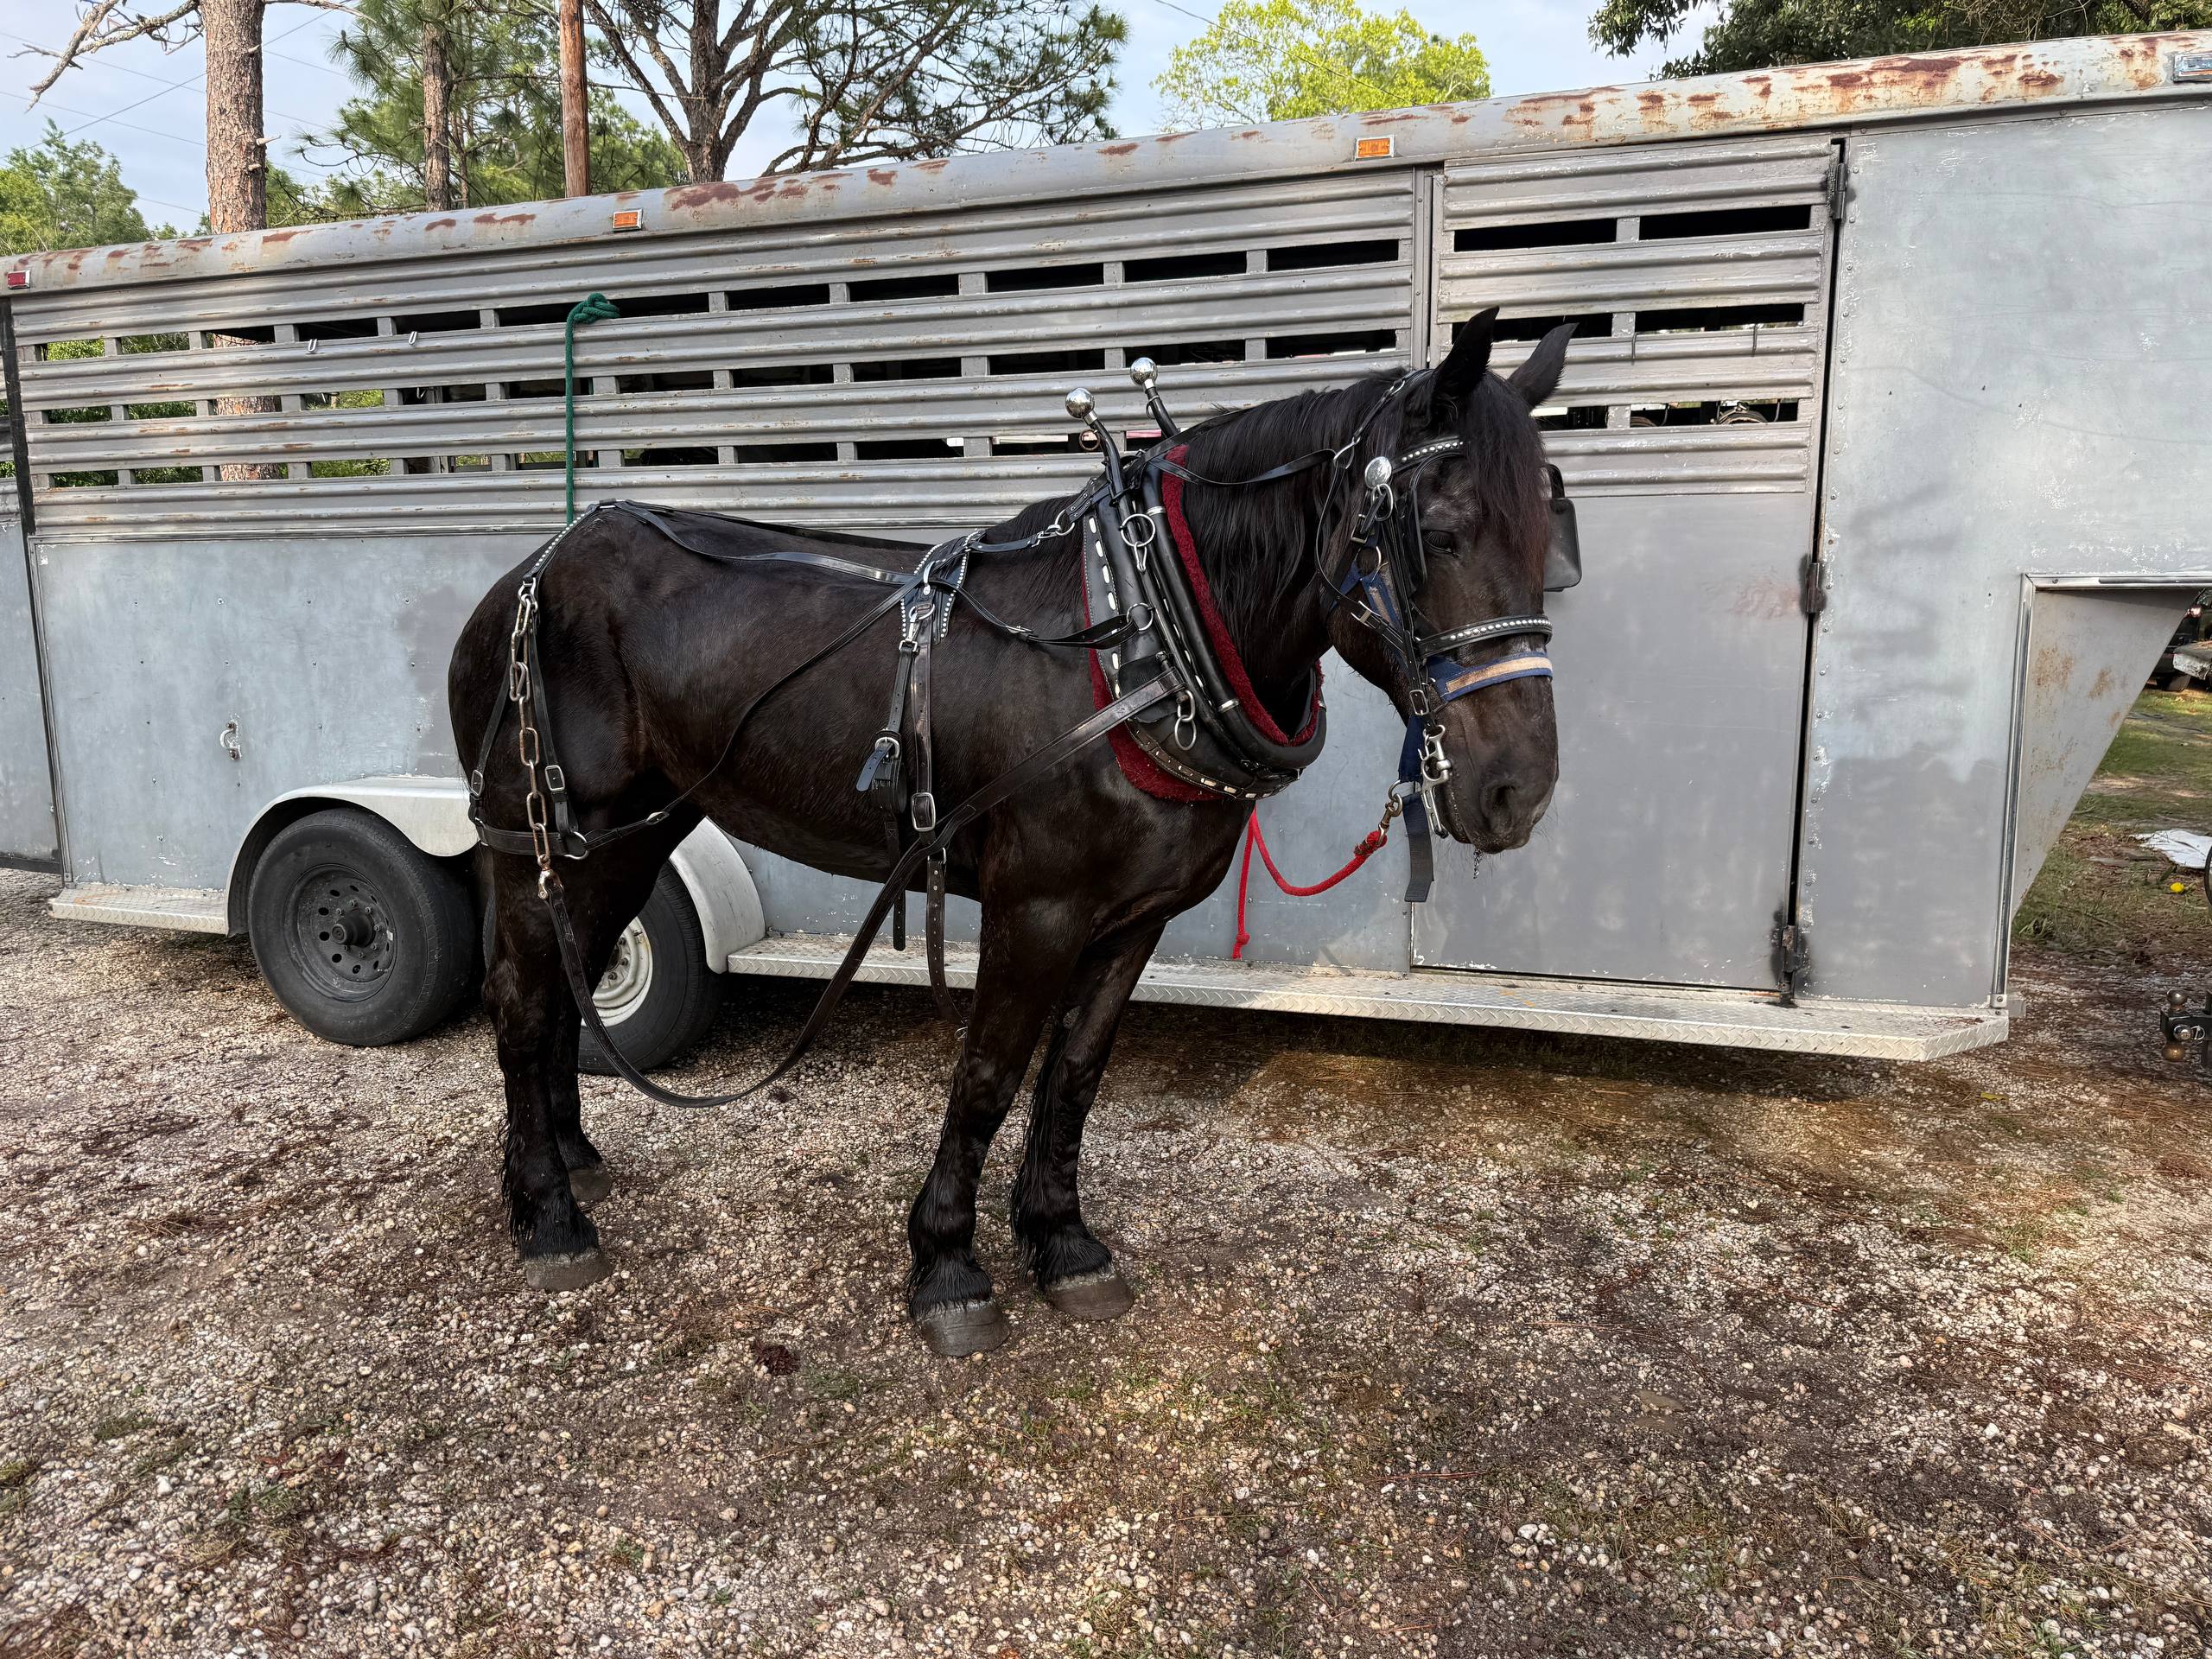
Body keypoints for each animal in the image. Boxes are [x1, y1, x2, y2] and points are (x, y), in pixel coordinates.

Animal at [446, 306, 1573, 1355]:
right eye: (1438, 533)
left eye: (1547, 545)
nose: (1517, 791)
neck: (1137, 643)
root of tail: (535, 569)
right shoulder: (1036, 910)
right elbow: (990, 1073)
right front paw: (948, 1264)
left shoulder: (1135, 918)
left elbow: (1073, 1076)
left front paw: (1063, 1243)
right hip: (543, 833)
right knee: (521, 1000)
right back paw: (550, 1216)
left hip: (626, 839)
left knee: (565, 981)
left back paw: (569, 1162)